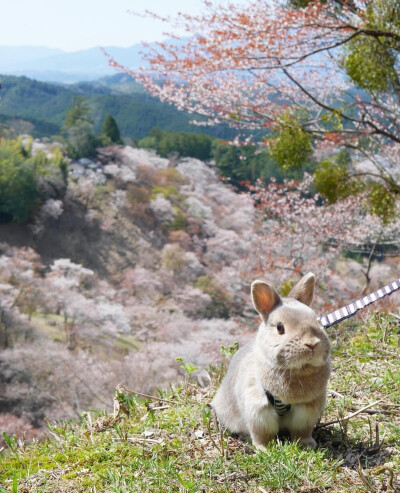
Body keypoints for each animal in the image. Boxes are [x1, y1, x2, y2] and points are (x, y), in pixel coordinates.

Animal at [211, 272, 330, 450]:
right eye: (280, 327)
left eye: (318, 321)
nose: (311, 344)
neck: (298, 371)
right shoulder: (258, 410)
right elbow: (262, 434)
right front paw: (264, 449)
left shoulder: (307, 411)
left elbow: (302, 432)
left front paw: (307, 445)